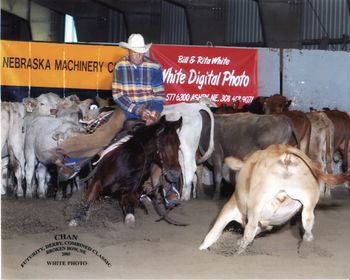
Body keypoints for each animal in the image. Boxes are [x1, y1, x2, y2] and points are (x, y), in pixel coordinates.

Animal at [200, 143, 350, 255]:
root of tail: (284, 151)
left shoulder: (231, 207)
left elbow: (213, 232)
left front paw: (202, 248)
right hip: (307, 205)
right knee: (308, 227)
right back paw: (306, 246)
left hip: (255, 204)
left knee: (249, 230)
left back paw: (238, 252)